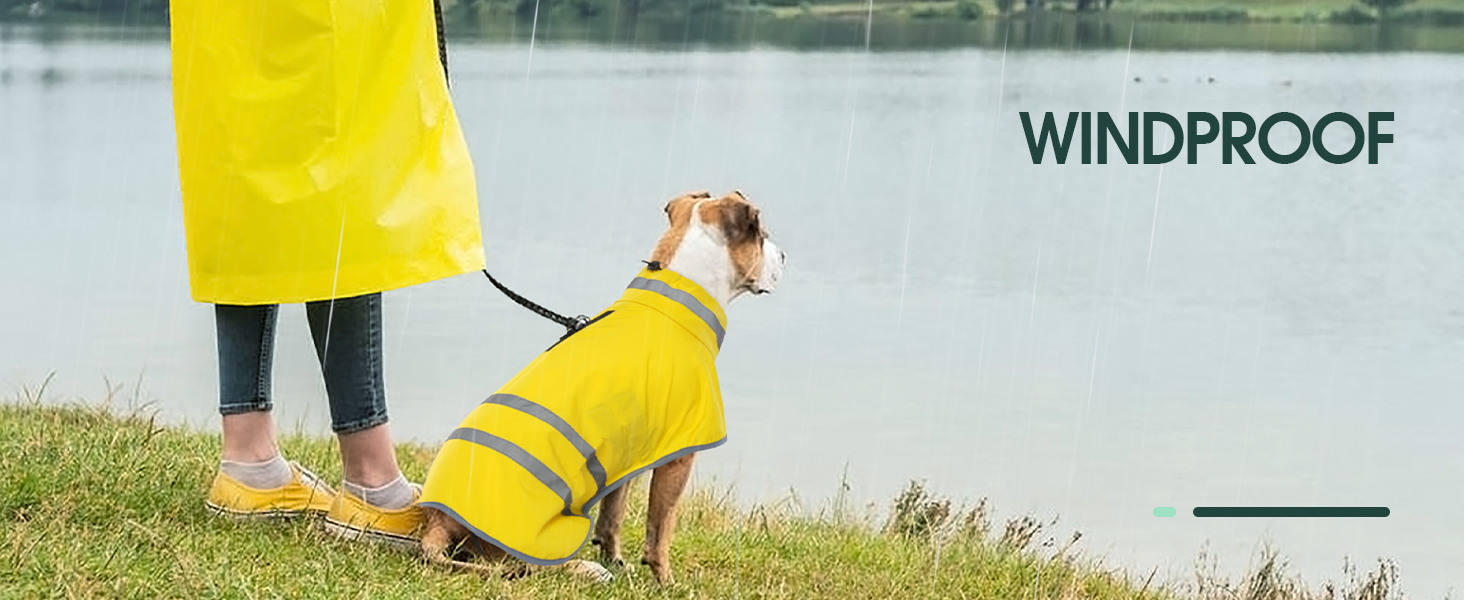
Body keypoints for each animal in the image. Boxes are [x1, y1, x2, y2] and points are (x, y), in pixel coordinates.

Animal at [418, 190, 784, 582]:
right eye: (762, 235)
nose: (784, 257)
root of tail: (438, 522)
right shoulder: (679, 456)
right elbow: (661, 526)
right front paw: (665, 580)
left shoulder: (626, 452)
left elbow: (613, 513)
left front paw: (616, 559)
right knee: (527, 566)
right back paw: (585, 568)